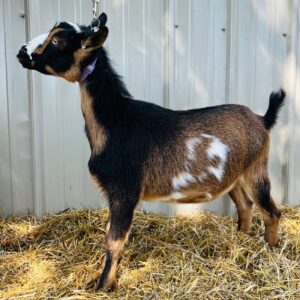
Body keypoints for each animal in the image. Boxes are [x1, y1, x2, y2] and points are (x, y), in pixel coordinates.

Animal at [17, 13, 284, 290]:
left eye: (57, 41)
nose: (21, 52)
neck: (117, 121)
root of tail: (262, 120)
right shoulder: (115, 194)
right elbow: (110, 234)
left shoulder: (125, 190)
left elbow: (114, 240)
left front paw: (103, 285)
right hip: (235, 176)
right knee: (245, 205)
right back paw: (241, 239)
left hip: (257, 168)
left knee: (271, 211)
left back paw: (269, 250)